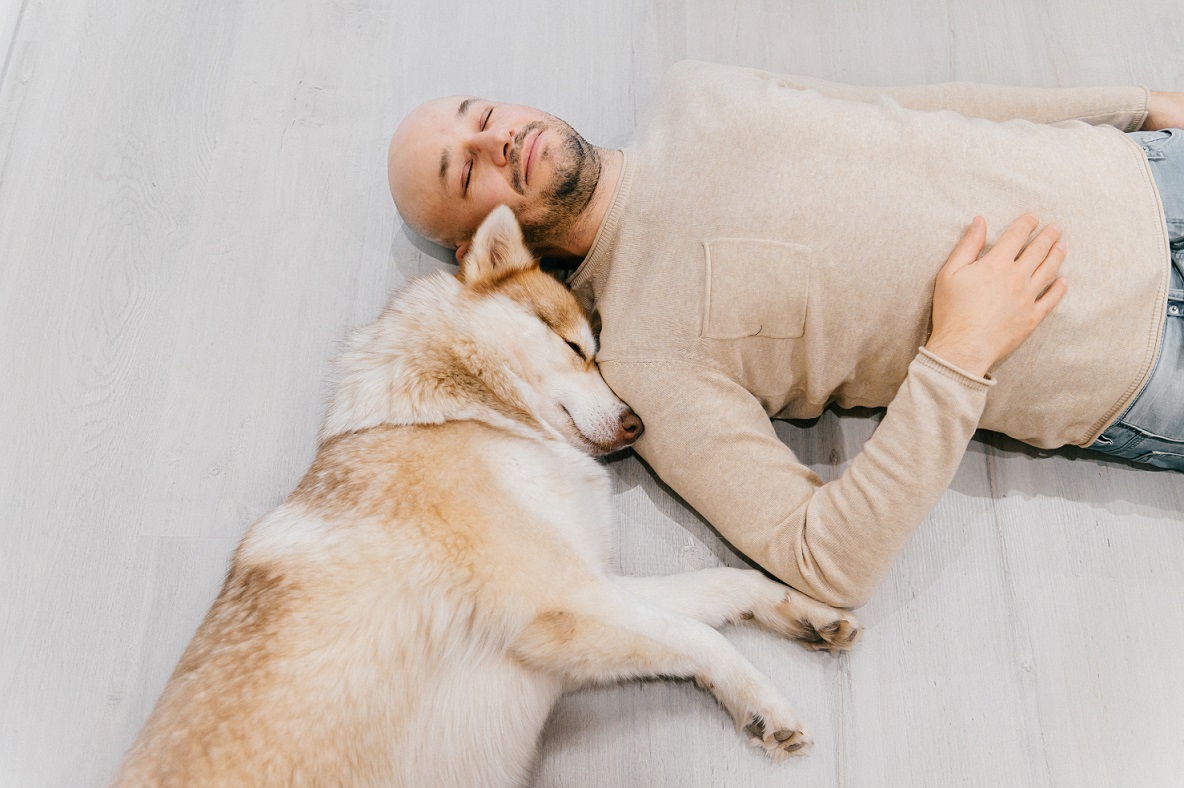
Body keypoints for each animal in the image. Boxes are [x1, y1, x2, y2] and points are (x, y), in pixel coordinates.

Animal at [113, 205, 861, 780]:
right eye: (575, 346)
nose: (637, 424)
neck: (471, 416)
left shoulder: (593, 586)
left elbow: (720, 585)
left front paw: (802, 613)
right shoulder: (565, 602)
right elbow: (701, 636)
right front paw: (765, 704)